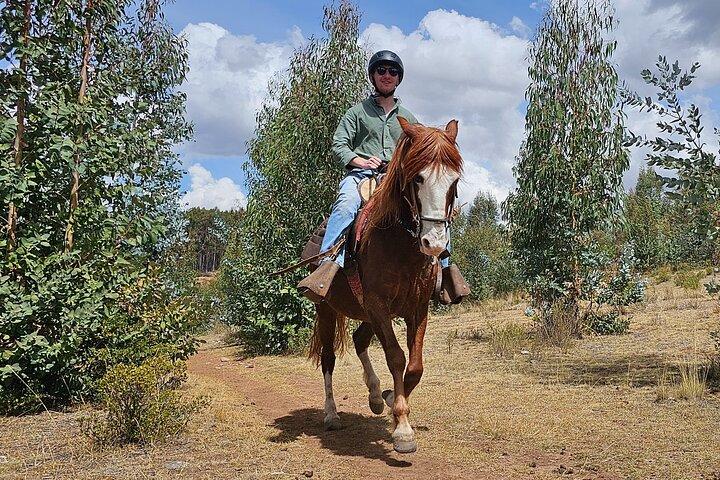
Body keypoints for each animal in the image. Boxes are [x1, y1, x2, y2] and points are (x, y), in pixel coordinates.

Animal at [308, 117, 463, 454]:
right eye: (418, 178)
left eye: (454, 181)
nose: (434, 243)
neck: (398, 244)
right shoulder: (378, 305)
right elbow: (396, 357)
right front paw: (402, 429)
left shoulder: (416, 308)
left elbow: (414, 366)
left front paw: (391, 398)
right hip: (328, 310)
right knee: (328, 358)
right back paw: (331, 414)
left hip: (367, 314)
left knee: (359, 341)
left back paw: (376, 395)